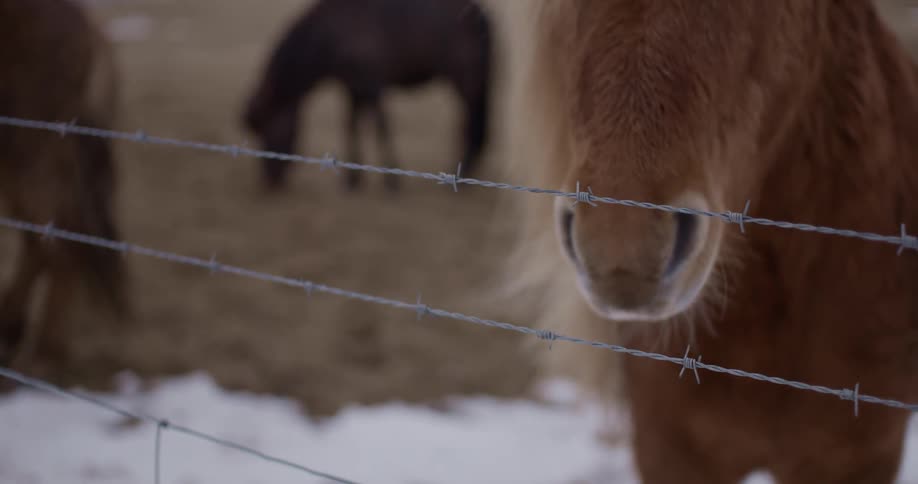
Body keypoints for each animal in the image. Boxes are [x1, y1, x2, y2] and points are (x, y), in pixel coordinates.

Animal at [242, 0, 493, 192]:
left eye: (268, 128)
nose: (270, 180)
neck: (331, 32)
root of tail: (480, 15)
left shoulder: (372, 85)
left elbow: (381, 126)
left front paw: (392, 180)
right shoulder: (353, 88)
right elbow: (352, 125)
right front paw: (353, 179)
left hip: (465, 81)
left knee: (471, 120)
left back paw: (463, 169)